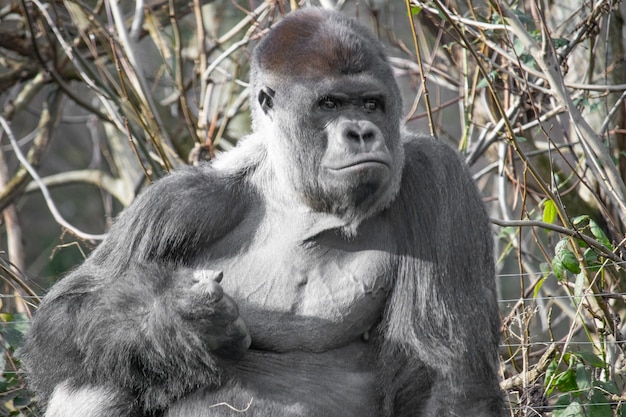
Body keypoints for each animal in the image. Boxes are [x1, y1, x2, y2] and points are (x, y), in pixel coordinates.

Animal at [19, 7, 502, 416]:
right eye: (329, 103)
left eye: (371, 104)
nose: (362, 132)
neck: (300, 198)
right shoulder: (181, 202)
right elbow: (64, 313)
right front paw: (174, 321)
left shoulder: (438, 179)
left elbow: (450, 381)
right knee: (97, 366)